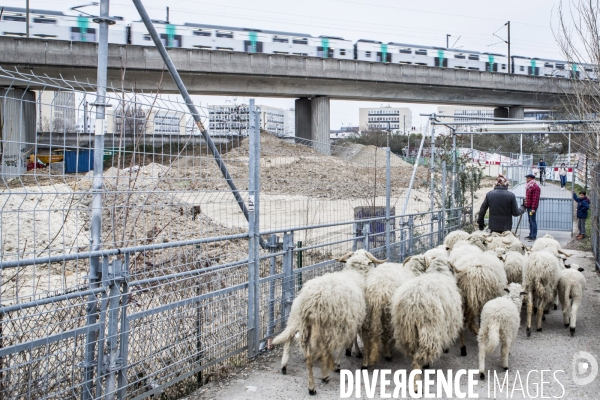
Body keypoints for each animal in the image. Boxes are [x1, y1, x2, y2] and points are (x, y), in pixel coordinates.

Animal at [390, 256, 464, 390]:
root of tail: (413, 301)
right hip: (429, 329)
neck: (439, 273)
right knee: (419, 357)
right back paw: (417, 384)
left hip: (407, 332)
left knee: (413, 353)